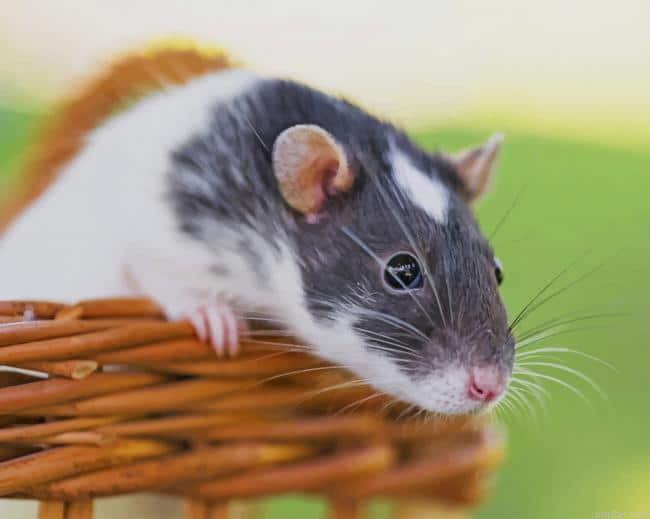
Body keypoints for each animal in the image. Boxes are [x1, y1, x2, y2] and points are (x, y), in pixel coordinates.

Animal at [0, 65, 513, 415]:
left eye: (497, 272)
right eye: (402, 271)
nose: (489, 385)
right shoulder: (150, 231)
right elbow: (149, 269)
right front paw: (211, 314)